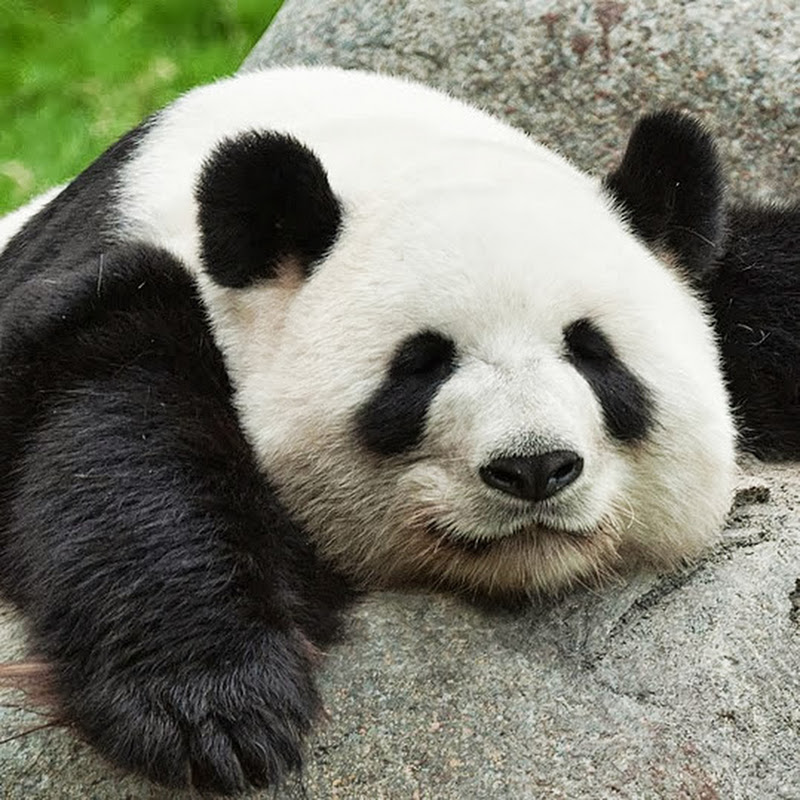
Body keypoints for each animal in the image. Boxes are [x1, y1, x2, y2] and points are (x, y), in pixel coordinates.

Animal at [0, 66, 792, 794]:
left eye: (592, 352)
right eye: (421, 364)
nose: (534, 467)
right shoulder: (88, 302)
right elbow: (116, 445)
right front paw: (214, 708)